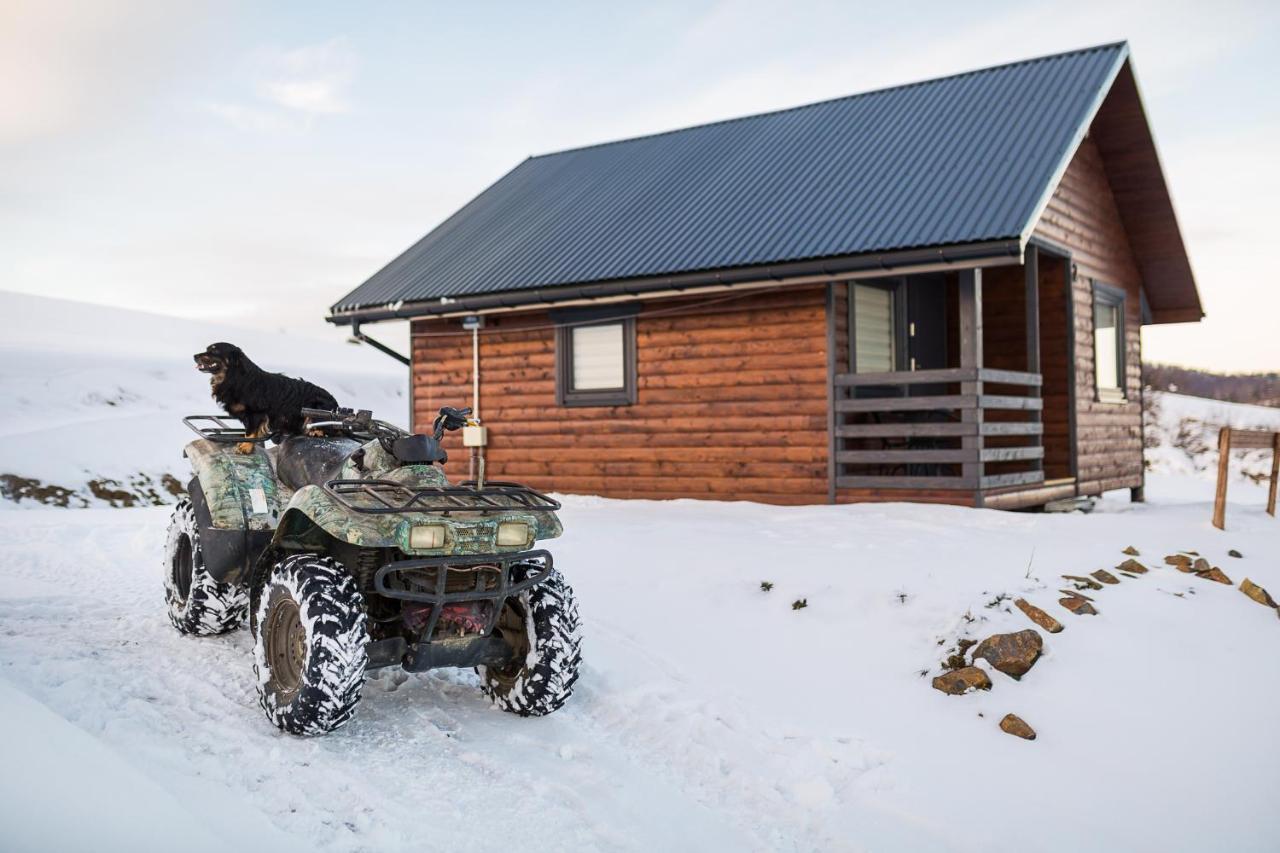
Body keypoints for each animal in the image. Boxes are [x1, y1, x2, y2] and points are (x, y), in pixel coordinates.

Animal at [192, 340, 337, 450]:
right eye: (207, 349)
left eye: (214, 351)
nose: (194, 356)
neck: (234, 378)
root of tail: (335, 405)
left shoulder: (255, 413)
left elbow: (250, 433)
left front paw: (246, 447)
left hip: (316, 408)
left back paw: (315, 431)